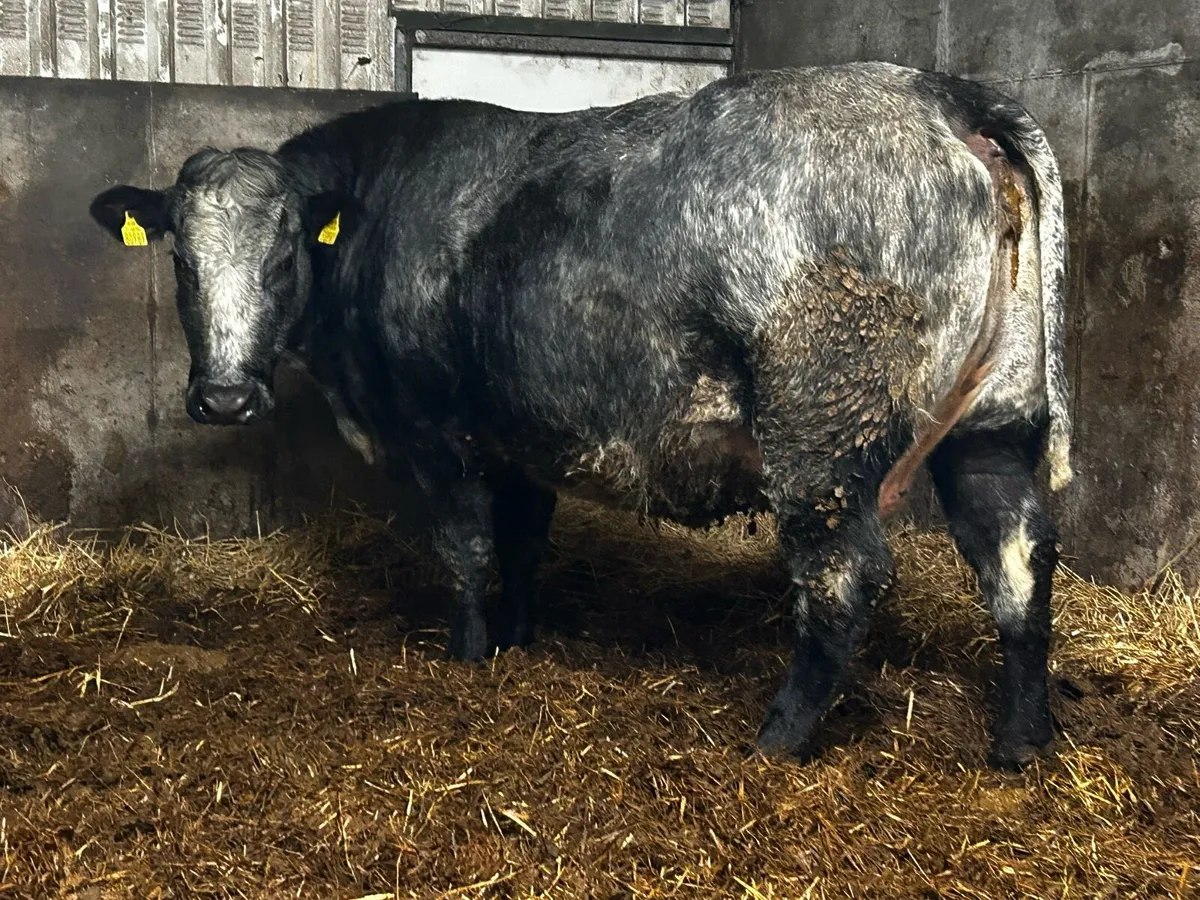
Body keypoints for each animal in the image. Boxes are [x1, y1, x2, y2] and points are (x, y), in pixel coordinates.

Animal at [89, 61, 1073, 770]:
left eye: (286, 252)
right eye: (180, 259)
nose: (223, 397)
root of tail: (939, 91)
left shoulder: (437, 430)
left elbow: (467, 548)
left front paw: (469, 652)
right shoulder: (522, 436)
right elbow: (525, 543)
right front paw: (519, 637)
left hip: (820, 435)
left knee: (845, 575)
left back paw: (776, 741)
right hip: (995, 423)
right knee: (1018, 559)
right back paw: (1018, 743)